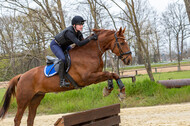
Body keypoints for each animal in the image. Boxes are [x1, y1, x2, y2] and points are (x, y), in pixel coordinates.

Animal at [0, 27, 131, 125]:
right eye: (122, 43)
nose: (129, 59)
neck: (89, 53)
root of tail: (21, 76)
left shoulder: (95, 75)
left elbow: (112, 74)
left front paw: (114, 90)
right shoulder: (87, 78)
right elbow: (110, 73)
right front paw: (117, 91)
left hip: (36, 98)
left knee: (30, 118)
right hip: (24, 100)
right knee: (17, 119)